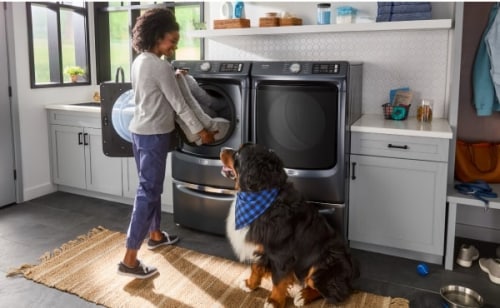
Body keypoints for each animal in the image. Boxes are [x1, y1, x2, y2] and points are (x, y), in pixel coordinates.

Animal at [221, 144, 358, 308]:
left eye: (238, 154)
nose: (222, 149)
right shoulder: (260, 246)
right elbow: (256, 268)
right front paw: (250, 284)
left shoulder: (281, 253)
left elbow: (279, 280)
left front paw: (274, 301)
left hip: (324, 263)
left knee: (333, 292)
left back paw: (302, 296)